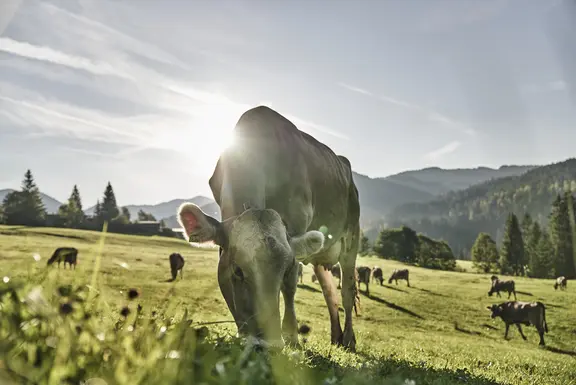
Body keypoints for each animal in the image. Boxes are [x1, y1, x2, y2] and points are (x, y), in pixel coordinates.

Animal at [178, 106, 362, 352]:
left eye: (284, 269)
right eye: (237, 271)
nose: (269, 344)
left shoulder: (297, 224)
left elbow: (291, 286)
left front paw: (292, 335)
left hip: (352, 236)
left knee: (347, 291)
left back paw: (349, 340)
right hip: (322, 253)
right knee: (329, 291)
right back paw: (336, 336)